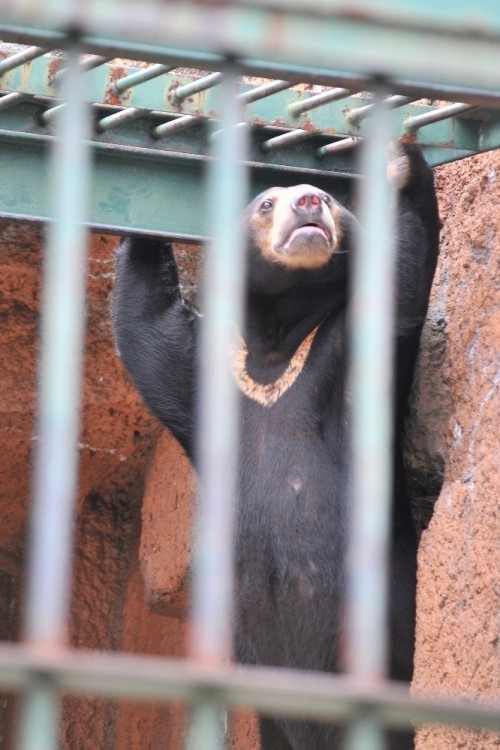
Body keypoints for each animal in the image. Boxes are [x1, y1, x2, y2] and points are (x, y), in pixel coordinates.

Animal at [112, 142, 438, 750]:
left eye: (329, 197)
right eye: (266, 203)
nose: (309, 200)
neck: (277, 344)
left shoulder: (346, 357)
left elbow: (397, 287)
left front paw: (401, 161)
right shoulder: (205, 377)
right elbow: (146, 327)